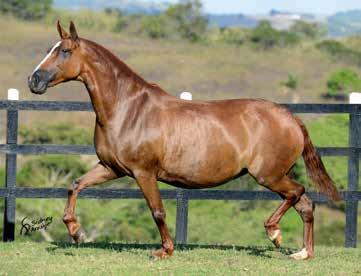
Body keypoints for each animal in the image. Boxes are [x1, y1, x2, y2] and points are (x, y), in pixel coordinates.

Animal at [28, 21, 340, 258]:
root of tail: (291, 117)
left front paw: (164, 251)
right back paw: (303, 253)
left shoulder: (143, 172)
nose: (34, 81)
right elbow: (75, 185)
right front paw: (75, 231)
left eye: (65, 51)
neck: (126, 108)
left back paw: (274, 233)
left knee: (297, 192)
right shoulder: (111, 168)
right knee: (305, 203)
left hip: (269, 175)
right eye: (48, 50)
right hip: (275, 175)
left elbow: (157, 211)